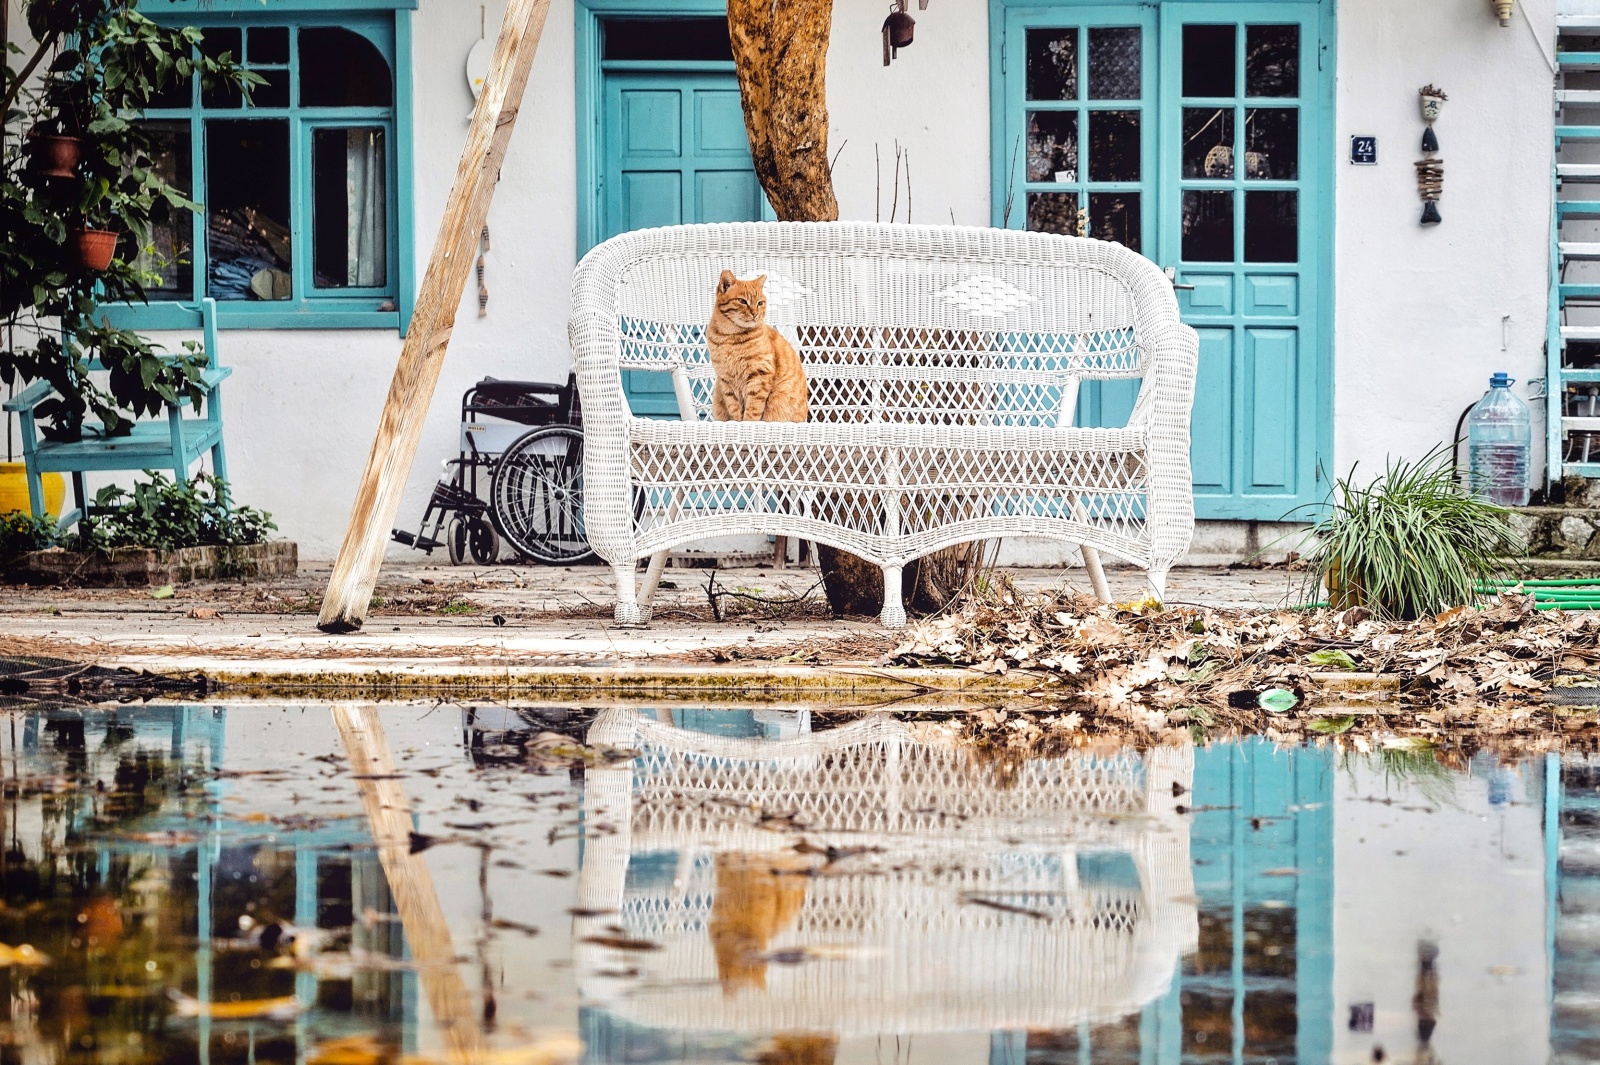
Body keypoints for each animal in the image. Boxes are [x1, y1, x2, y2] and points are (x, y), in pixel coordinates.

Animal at [710, 267, 806, 422]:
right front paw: (737, 421)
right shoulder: (726, 381)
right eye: (742, 301)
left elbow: (753, 409)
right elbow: (734, 408)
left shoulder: (759, 374)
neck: (730, 337)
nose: (755, 313)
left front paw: (747, 422)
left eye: (760, 303)